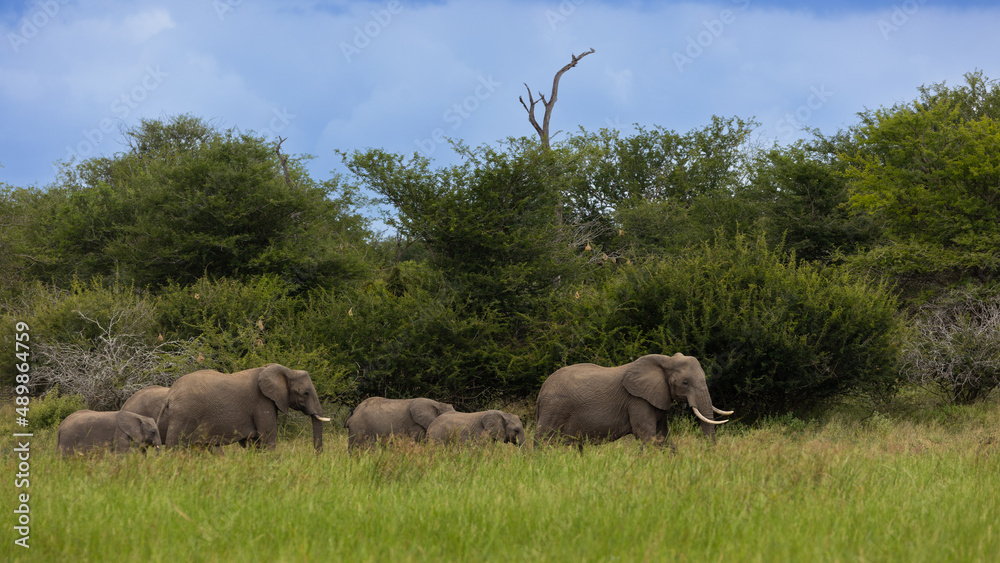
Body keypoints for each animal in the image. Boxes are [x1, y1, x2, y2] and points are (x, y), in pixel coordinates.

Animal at [157, 363, 330, 452]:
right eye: (306, 393)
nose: (317, 459)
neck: (286, 370)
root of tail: (170, 394)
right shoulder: (262, 402)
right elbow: (268, 437)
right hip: (184, 414)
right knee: (175, 445)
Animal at [535, 353, 732, 449]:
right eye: (685, 382)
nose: (709, 455)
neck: (666, 361)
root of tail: (541, 390)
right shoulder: (637, 400)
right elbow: (645, 434)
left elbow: (663, 435)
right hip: (554, 407)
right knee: (542, 438)